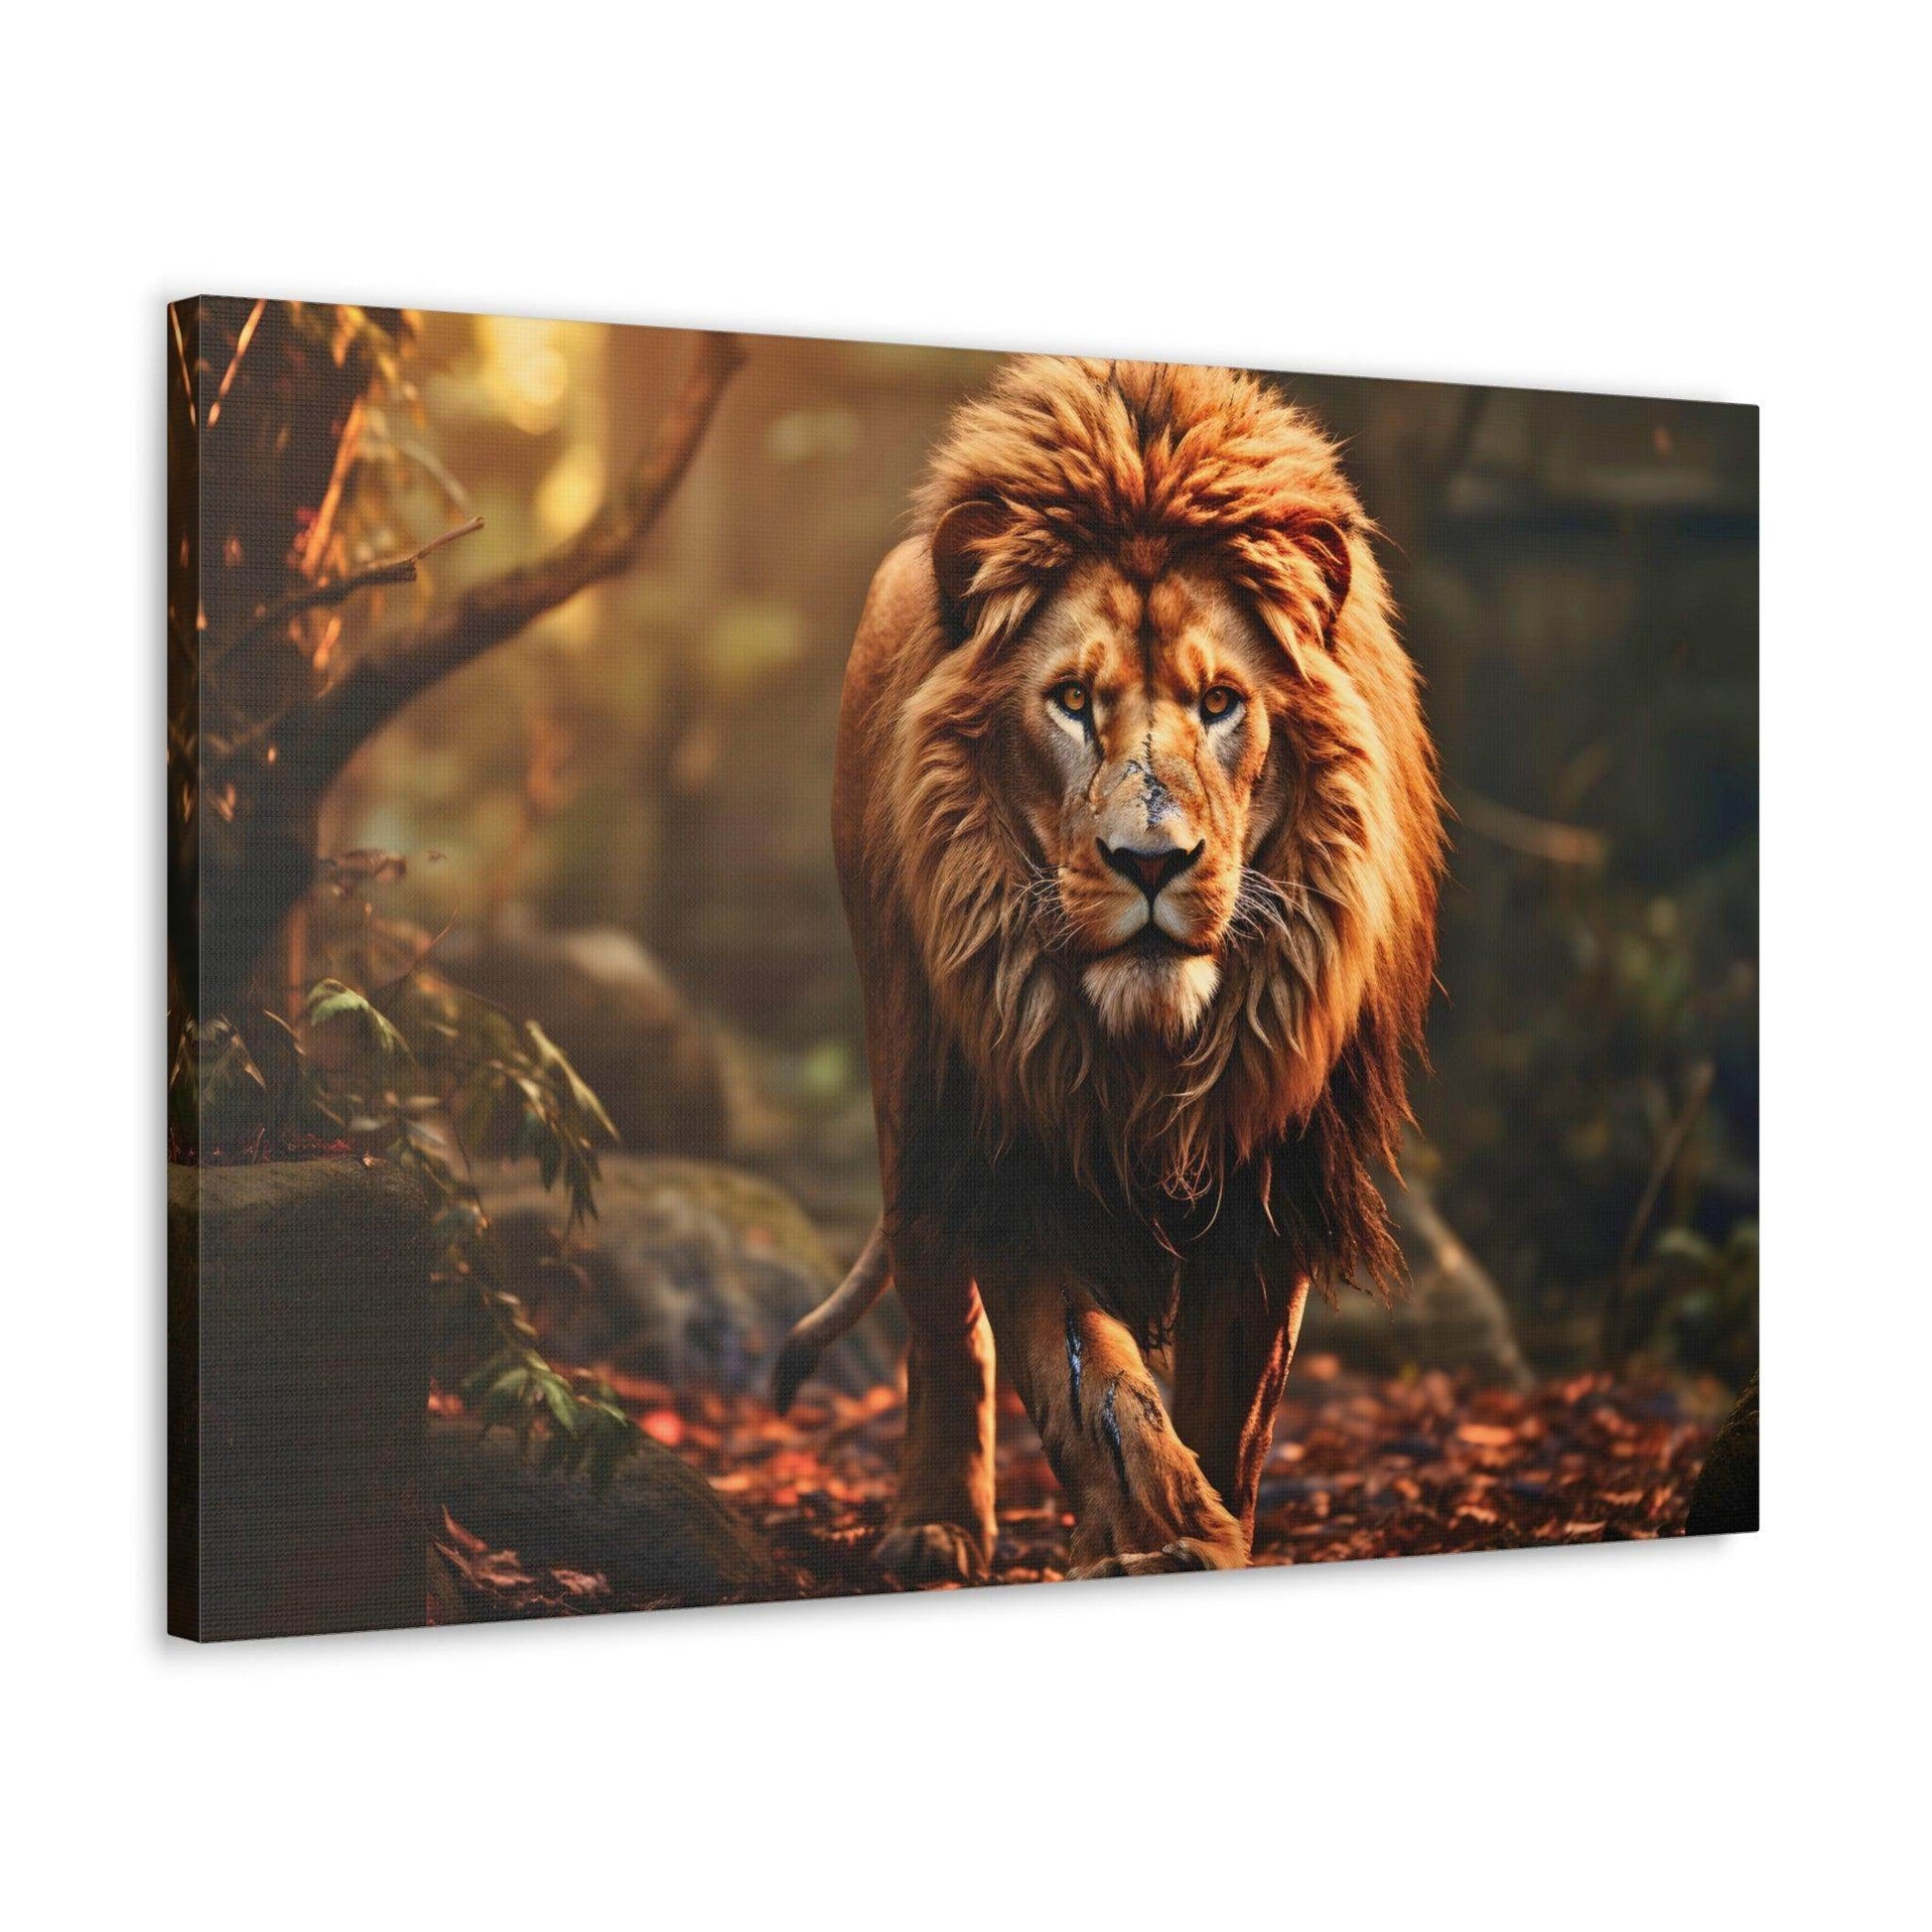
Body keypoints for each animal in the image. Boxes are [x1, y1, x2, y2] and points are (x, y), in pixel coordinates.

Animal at [774, 357, 1443, 1582]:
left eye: (1220, 703)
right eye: (1074, 701)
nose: (1150, 860)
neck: (1152, 1053)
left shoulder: (1268, 1181)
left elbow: (1231, 1409)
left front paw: (1206, 1528)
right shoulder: (1017, 1147)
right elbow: (1093, 1388)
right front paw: (1162, 1532)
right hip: (912, 1086)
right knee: (941, 1319)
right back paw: (935, 1523)